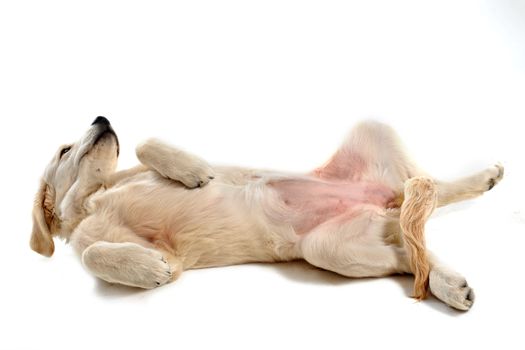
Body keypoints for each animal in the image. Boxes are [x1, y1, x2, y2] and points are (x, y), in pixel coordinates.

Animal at [30, 116, 502, 310]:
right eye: (65, 150)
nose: (102, 117)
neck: (95, 196)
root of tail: (386, 202)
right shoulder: (166, 255)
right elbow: (92, 253)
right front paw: (148, 269)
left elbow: (146, 143)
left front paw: (193, 170)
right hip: (331, 248)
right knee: (412, 247)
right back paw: (450, 285)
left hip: (372, 130)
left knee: (427, 192)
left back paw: (485, 178)